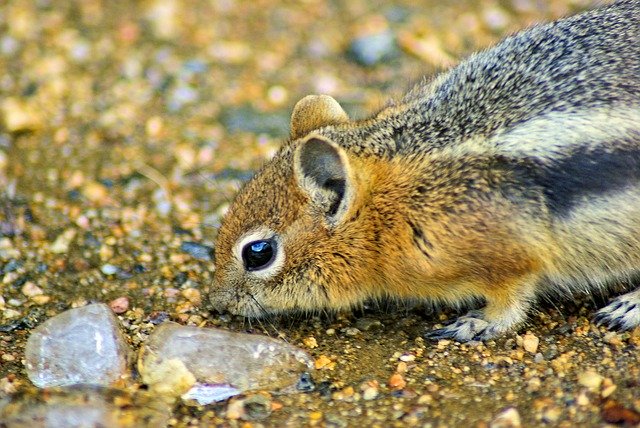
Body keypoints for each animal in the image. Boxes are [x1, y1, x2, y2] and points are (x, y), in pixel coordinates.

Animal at [210, 0, 640, 342]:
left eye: (258, 253)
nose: (216, 301)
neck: (393, 206)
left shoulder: (513, 255)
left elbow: (512, 301)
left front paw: (478, 323)